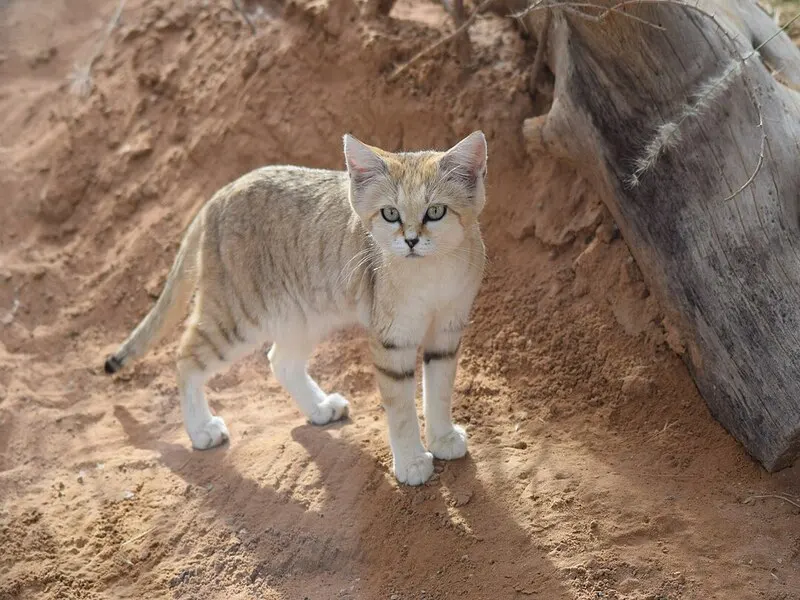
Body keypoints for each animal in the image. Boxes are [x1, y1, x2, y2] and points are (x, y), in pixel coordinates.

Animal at [105, 132, 488, 488]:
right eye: (390, 214)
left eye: (435, 211)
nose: (410, 240)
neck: (432, 273)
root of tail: (222, 191)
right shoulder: (392, 340)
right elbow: (402, 409)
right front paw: (411, 462)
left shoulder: (447, 331)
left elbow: (439, 391)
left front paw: (442, 439)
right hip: (237, 317)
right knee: (185, 358)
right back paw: (201, 429)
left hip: (301, 315)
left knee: (279, 361)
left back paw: (319, 408)